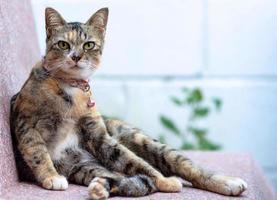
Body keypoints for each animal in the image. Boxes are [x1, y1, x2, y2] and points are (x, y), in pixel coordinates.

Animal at [10, 7, 247, 199]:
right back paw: (102, 188)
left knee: (181, 166)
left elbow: (135, 161)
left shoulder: (100, 136)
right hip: (84, 166)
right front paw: (51, 176)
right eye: (63, 44)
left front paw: (165, 182)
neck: (70, 89)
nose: (76, 56)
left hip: (140, 141)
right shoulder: (26, 123)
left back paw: (228, 182)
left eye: (89, 45)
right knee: (128, 180)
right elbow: (37, 152)